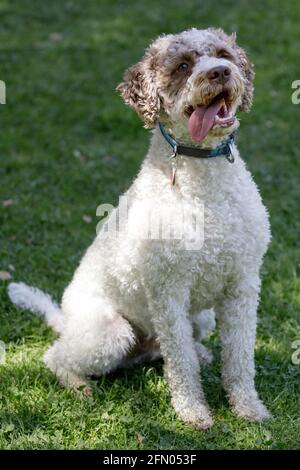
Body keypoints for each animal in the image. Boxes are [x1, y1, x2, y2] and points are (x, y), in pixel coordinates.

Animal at [9, 26, 272, 430]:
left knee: (163, 351)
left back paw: (198, 353)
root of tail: (65, 321)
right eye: (182, 66)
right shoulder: (168, 290)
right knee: (56, 356)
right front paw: (194, 412)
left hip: (203, 317)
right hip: (109, 332)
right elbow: (181, 364)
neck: (205, 182)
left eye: (223, 54)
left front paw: (248, 407)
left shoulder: (243, 284)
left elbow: (240, 357)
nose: (220, 73)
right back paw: (78, 384)